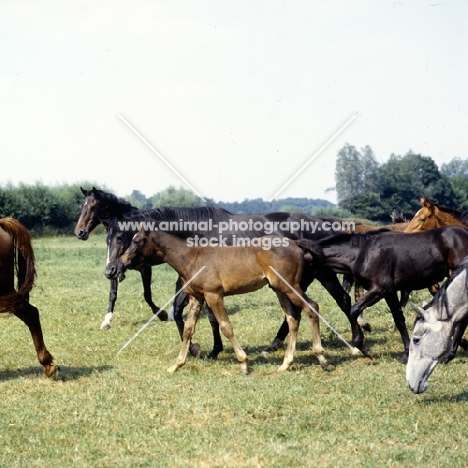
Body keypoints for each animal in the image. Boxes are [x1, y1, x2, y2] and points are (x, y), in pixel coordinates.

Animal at [73, 186, 168, 330]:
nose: (79, 232)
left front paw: (162, 314)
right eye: (80, 206)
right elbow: (113, 294)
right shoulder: (112, 267)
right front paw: (107, 321)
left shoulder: (145, 268)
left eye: (93, 206)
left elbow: (147, 294)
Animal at [115, 225, 352, 374]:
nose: (121, 263)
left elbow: (226, 327)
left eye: (137, 240)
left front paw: (244, 364)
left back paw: (322, 358)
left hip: (289, 286)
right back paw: (286, 363)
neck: (191, 257)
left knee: (312, 307)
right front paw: (177, 364)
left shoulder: (214, 295)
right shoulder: (197, 298)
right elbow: (189, 330)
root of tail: (295, 243)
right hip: (279, 289)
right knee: (293, 318)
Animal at [308, 225, 468, 364]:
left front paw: (364, 348)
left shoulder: (382, 289)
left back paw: (449, 356)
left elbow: (355, 311)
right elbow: (398, 319)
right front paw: (406, 352)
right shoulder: (388, 292)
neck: (362, 253)